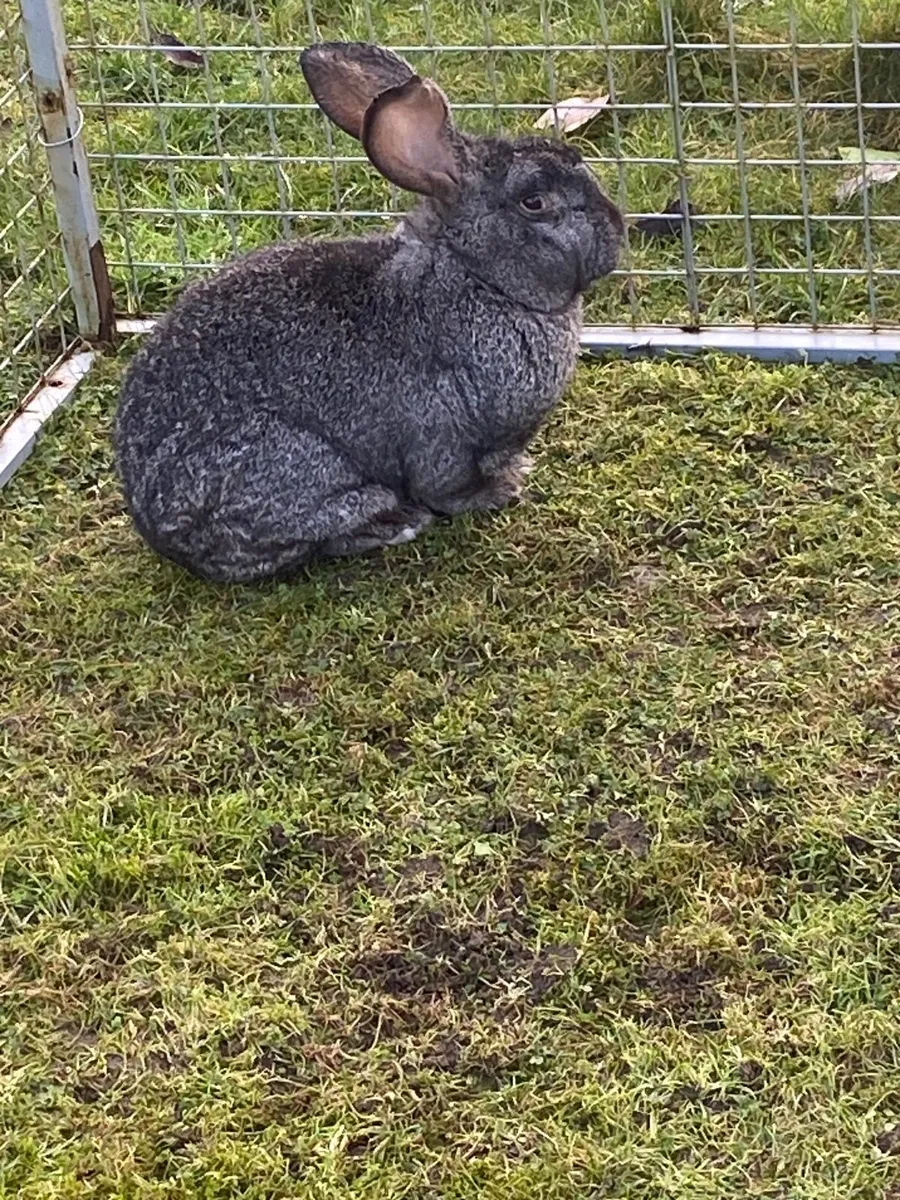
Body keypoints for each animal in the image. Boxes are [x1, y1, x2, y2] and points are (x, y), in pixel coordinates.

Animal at [114, 42, 624, 583]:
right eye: (535, 202)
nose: (618, 229)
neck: (478, 274)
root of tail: (160, 532)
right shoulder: (442, 435)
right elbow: (448, 485)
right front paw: (499, 491)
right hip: (296, 469)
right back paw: (393, 523)